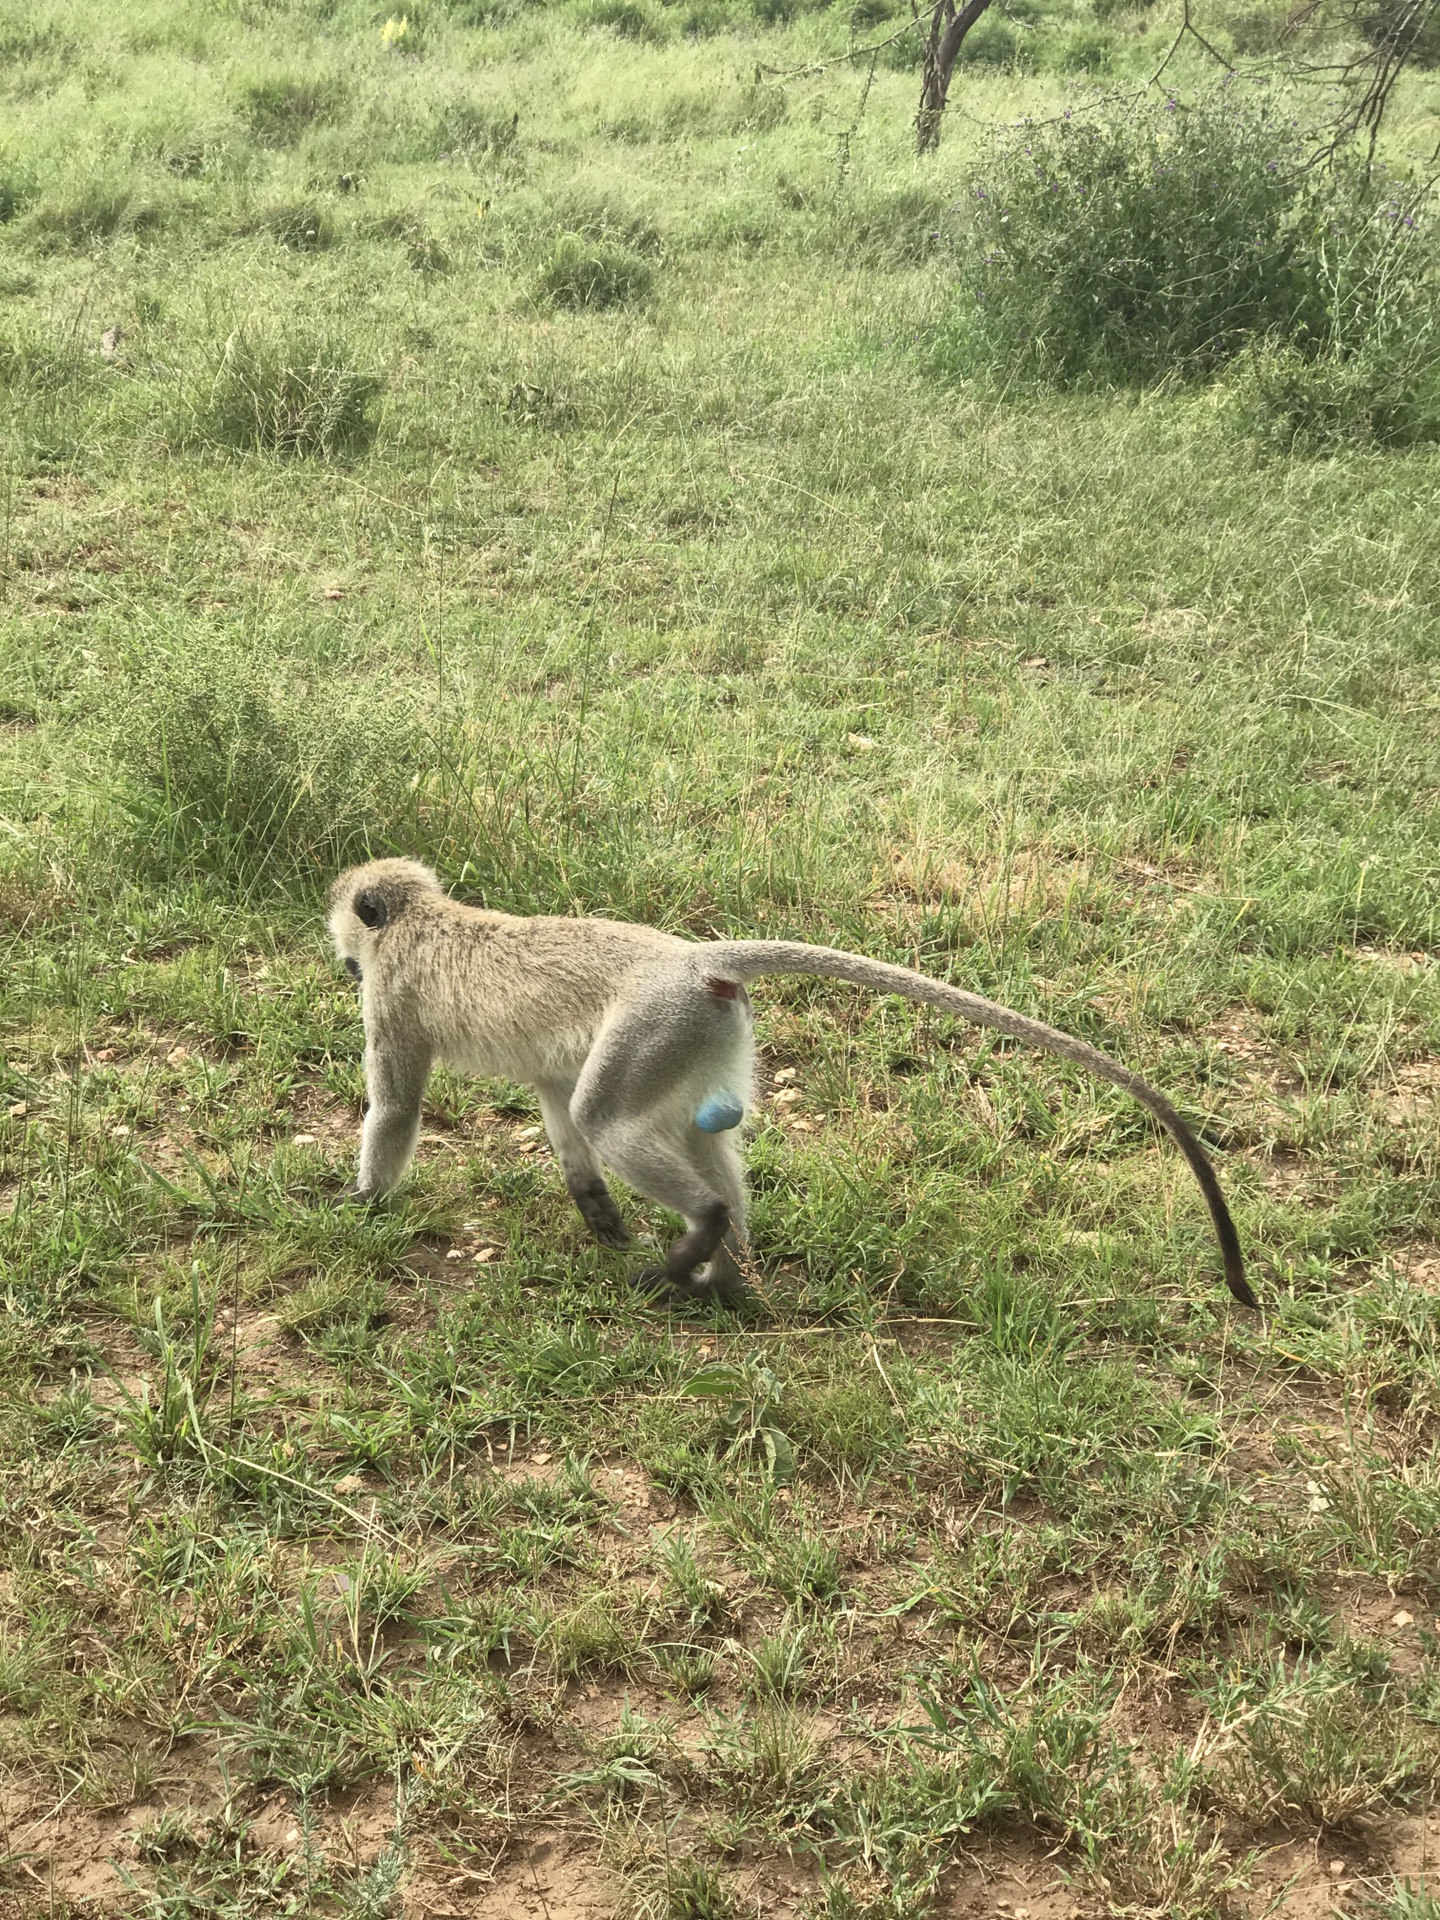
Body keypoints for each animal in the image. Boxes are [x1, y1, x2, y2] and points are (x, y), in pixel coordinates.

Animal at [326, 864, 1251, 1313]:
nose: (338, 955)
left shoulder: (392, 995)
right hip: (696, 1038)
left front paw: (356, 1206)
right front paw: (599, 1215)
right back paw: (726, 1277)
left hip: (655, 1026)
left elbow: (400, 1107)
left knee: (614, 1120)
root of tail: (695, 959)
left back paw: (704, 1239)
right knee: (693, 1136)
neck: (420, 918)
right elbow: (562, 1120)